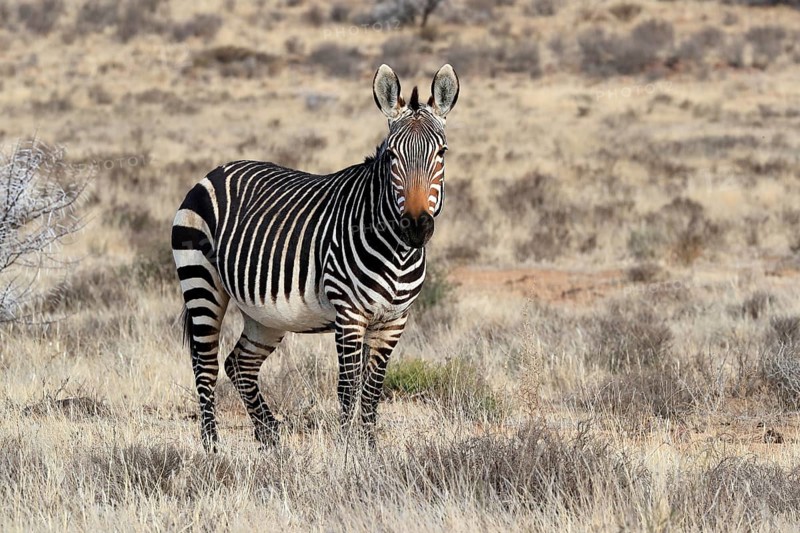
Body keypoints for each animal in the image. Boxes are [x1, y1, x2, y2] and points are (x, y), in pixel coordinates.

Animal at [171, 64, 459, 450]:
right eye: (392, 157)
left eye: (441, 153)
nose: (416, 226)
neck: (397, 251)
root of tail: (215, 171)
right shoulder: (349, 315)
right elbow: (349, 389)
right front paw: (347, 451)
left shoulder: (394, 320)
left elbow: (373, 390)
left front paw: (370, 450)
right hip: (201, 282)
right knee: (206, 366)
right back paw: (212, 446)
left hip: (264, 313)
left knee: (239, 364)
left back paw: (269, 435)